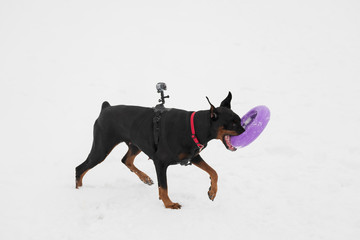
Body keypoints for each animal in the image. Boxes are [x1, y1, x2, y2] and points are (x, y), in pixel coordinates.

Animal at [75, 92, 245, 208]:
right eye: (233, 123)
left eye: (239, 120)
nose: (244, 130)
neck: (194, 127)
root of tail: (105, 108)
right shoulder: (160, 162)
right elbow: (164, 186)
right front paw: (169, 204)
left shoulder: (193, 156)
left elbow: (214, 172)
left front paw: (212, 191)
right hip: (102, 148)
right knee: (80, 168)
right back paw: (78, 191)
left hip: (136, 143)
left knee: (126, 160)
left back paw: (145, 178)